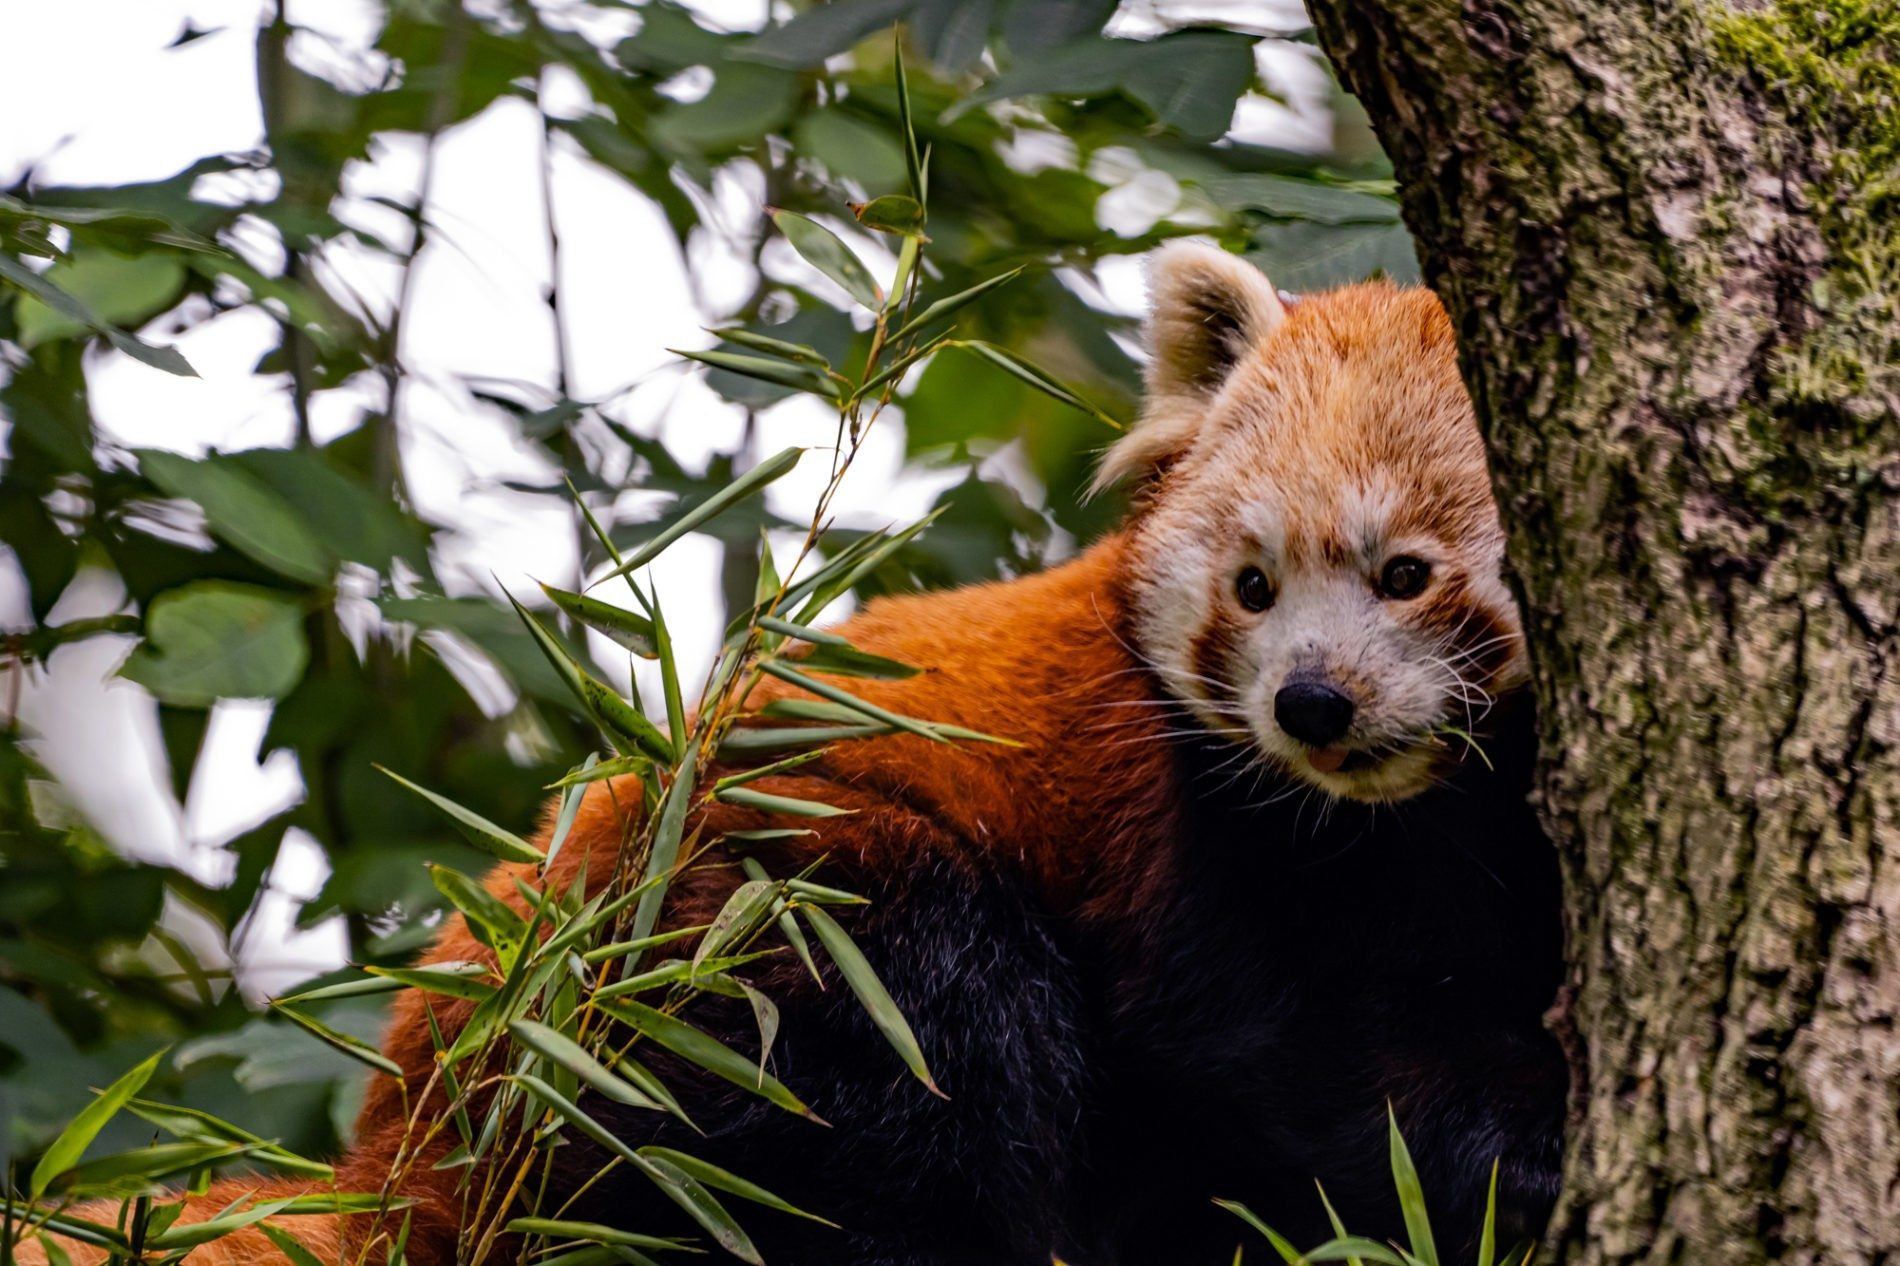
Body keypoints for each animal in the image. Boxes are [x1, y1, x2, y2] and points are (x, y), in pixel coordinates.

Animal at [29, 247, 1565, 1262]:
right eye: (1252, 586)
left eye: (1406, 573)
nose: (1310, 703)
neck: (1412, 813)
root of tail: (397, 1149)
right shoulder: (1192, 830)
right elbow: (1287, 1059)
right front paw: (1514, 1157)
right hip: (768, 917)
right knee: (919, 1070)